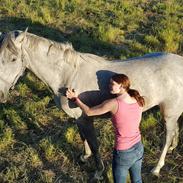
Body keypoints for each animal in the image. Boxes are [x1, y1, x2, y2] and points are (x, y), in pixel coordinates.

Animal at [0, 29, 182, 179]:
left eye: (13, 59)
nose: (1, 94)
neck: (67, 75)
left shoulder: (86, 118)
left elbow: (94, 144)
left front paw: (98, 171)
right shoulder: (80, 119)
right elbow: (83, 138)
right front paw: (84, 157)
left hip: (169, 113)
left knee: (167, 136)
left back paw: (157, 168)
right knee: (174, 130)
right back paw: (172, 148)